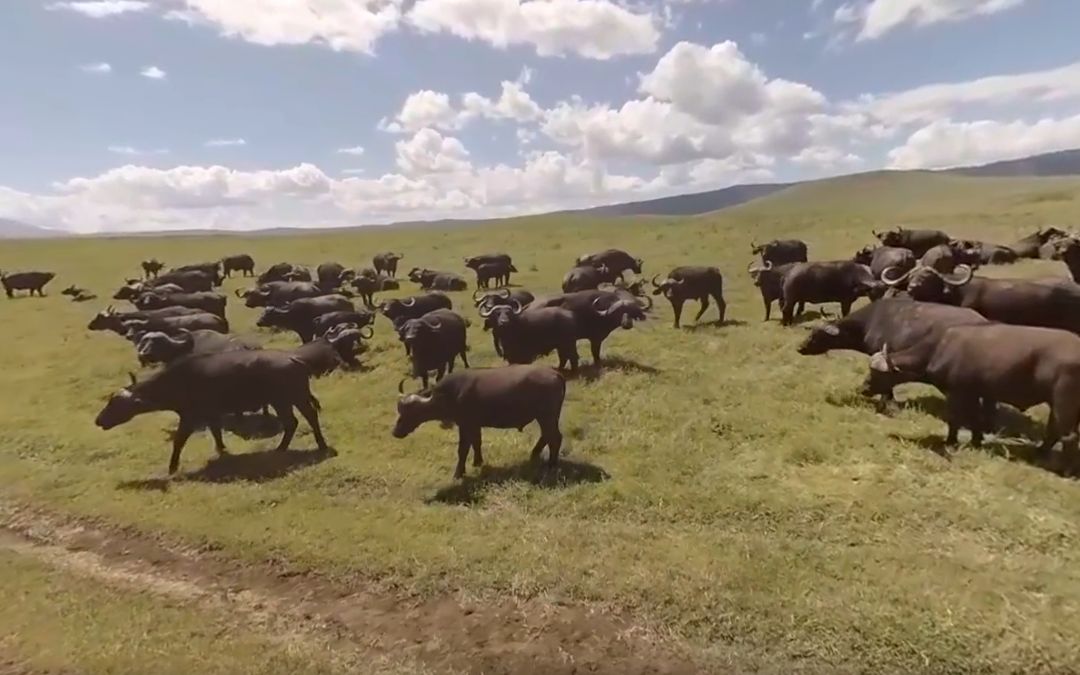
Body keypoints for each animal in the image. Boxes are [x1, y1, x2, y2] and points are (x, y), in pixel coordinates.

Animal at [94, 349, 330, 470]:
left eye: (115, 403)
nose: (98, 420)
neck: (176, 381)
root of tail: (295, 359)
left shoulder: (190, 417)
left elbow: (179, 441)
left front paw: (172, 467)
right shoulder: (212, 415)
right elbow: (216, 433)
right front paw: (222, 450)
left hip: (286, 399)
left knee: (299, 420)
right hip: (290, 399)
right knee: (301, 419)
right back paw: (300, 447)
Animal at [395, 365, 565, 481]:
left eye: (410, 412)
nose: (396, 432)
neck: (452, 394)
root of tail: (556, 374)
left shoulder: (465, 425)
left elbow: (463, 450)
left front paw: (459, 473)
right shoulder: (475, 425)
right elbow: (477, 443)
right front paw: (478, 462)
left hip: (547, 416)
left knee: (555, 437)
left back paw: (552, 464)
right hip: (546, 417)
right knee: (547, 436)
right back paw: (535, 454)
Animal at [864, 321, 1080, 460]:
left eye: (877, 374)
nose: (864, 387)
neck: (940, 346)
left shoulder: (958, 393)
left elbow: (955, 420)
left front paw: (950, 441)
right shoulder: (975, 393)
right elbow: (976, 420)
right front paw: (976, 441)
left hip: (1064, 403)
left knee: (1068, 436)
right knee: (1055, 431)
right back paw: (1041, 453)